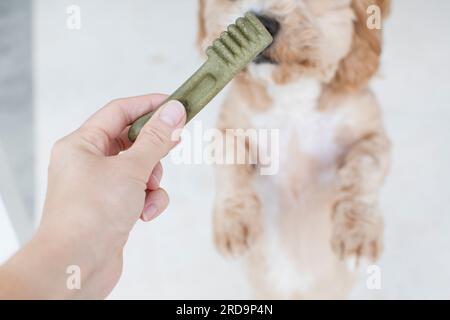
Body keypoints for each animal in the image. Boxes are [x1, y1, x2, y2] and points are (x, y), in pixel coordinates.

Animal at [197, 0, 390, 298]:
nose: (264, 22)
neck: (291, 95)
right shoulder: (229, 129)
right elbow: (229, 161)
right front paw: (233, 224)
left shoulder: (372, 137)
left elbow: (363, 170)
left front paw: (357, 233)